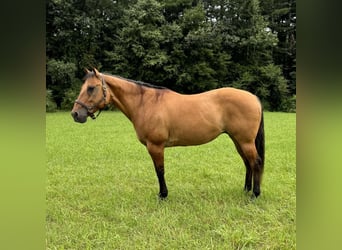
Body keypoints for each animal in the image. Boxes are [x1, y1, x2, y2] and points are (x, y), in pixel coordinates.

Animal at [71, 68, 264, 199]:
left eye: (91, 88)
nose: (75, 114)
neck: (146, 103)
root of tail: (253, 97)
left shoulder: (155, 146)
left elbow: (160, 170)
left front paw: (163, 195)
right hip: (237, 140)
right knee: (247, 163)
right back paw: (246, 189)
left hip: (245, 141)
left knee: (255, 162)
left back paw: (254, 194)